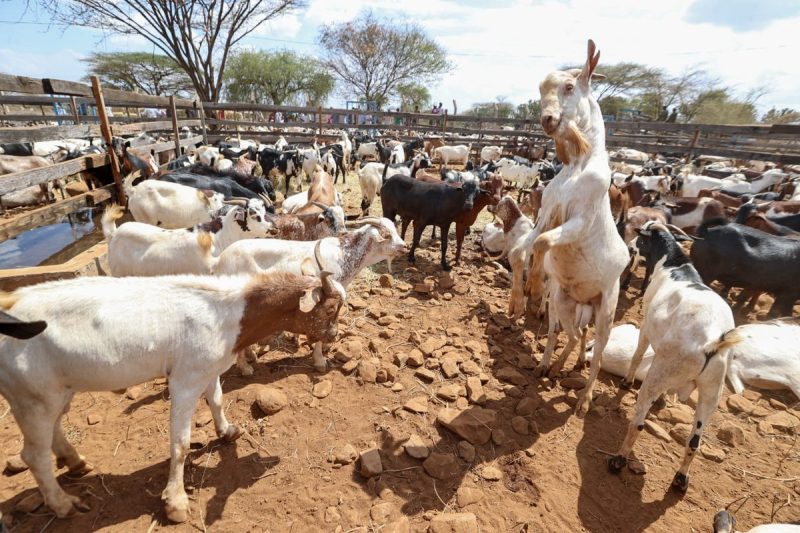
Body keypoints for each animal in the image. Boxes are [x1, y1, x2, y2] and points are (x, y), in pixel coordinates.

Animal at [0, 271, 345, 522]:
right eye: (330, 308)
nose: (333, 336)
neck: (228, 313)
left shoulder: (208, 368)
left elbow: (217, 399)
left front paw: (227, 431)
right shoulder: (184, 379)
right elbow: (180, 444)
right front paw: (175, 502)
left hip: (56, 391)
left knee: (55, 428)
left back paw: (75, 462)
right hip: (32, 398)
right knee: (34, 456)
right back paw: (63, 504)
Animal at [523, 40, 630, 417]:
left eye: (569, 87)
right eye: (540, 90)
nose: (548, 120)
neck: (578, 167)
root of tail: (587, 304)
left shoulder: (578, 221)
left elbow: (542, 242)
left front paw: (533, 285)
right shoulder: (547, 210)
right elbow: (531, 241)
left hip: (607, 309)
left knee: (597, 354)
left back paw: (583, 400)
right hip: (567, 304)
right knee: (569, 336)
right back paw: (550, 366)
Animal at [608, 222, 739, 493]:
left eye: (642, 237)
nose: (630, 246)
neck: (673, 265)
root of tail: (712, 341)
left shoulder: (646, 328)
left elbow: (637, 355)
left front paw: (626, 382)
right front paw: (663, 400)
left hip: (661, 373)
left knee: (638, 423)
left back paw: (618, 460)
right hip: (711, 391)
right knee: (694, 442)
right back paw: (680, 480)